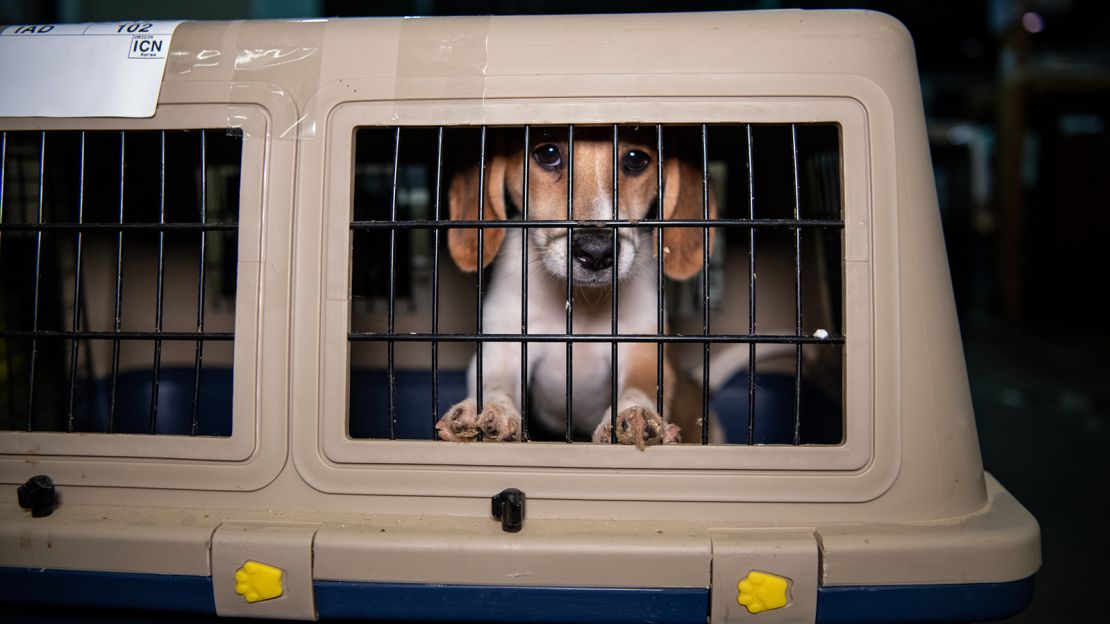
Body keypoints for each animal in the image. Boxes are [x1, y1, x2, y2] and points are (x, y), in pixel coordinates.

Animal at [430, 126, 710, 446]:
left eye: (636, 159)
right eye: (548, 153)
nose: (596, 250)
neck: (581, 302)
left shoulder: (642, 347)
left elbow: (638, 388)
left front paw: (634, 416)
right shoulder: (504, 345)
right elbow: (495, 382)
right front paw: (490, 410)